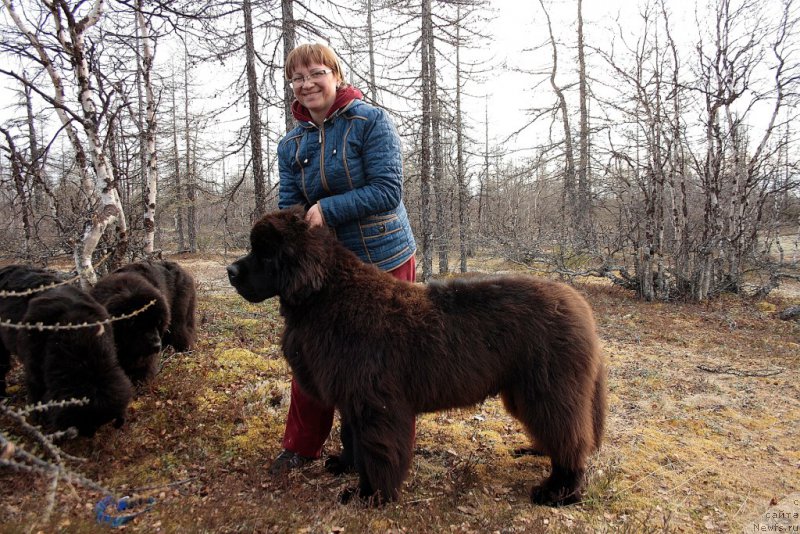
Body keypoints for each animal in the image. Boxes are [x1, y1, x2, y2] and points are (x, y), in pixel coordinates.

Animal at [225, 207, 608, 508]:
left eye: (266, 254)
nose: (230, 271)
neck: (327, 297)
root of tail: (579, 304)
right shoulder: (350, 396)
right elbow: (351, 436)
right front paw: (346, 465)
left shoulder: (375, 402)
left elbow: (377, 450)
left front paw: (370, 496)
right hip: (525, 390)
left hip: (549, 390)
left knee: (570, 439)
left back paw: (558, 492)